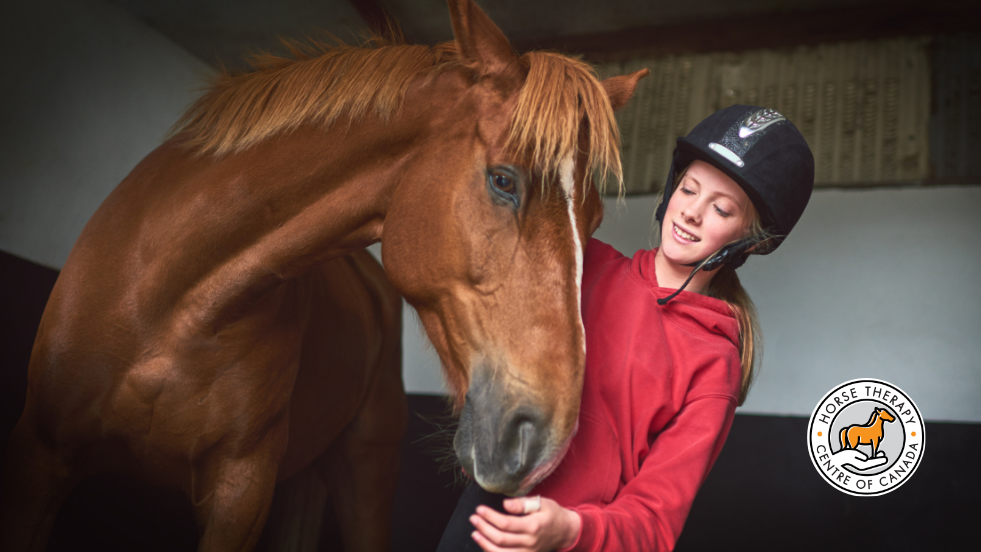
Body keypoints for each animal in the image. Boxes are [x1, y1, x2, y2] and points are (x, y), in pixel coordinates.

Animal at [0, 1, 647, 550]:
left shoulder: (239, 494)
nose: (548, 439)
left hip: (364, 471)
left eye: (592, 220)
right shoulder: (38, 458)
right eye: (504, 180)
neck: (170, 300)